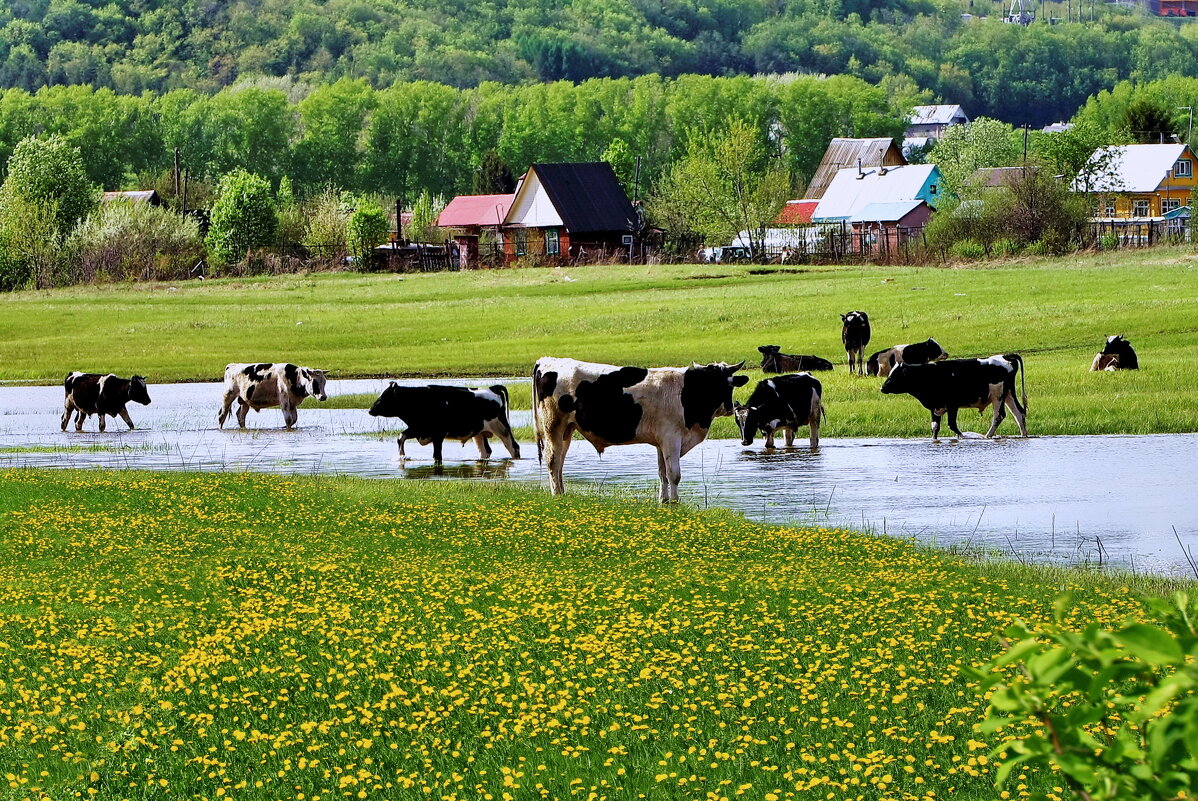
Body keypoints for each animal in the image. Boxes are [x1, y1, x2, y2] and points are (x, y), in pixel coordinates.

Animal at [366, 383, 522, 462]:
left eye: (384, 397)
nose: (371, 410)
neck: (420, 400)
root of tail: (492, 388)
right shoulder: (418, 429)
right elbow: (400, 437)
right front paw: (402, 456)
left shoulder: (438, 434)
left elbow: (437, 455)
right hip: (479, 433)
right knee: (485, 451)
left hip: (502, 428)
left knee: (513, 447)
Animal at [529, 356, 742, 500]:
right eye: (721, 385)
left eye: (730, 383)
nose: (730, 408)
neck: (687, 392)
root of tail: (546, 361)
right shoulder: (671, 438)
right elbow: (674, 474)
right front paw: (675, 502)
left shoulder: (661, 442)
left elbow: (662, 474)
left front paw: (664, 501)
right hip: (553, 427)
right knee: (552, 461)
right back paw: (557, 494)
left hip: (567, 430)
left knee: (560, 463)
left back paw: (562, 492)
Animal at [881, 352, 1030, 440]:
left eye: (895, 376)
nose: (882, 388)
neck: (929, 375)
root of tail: (1006, 356)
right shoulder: (935, 407)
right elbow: (935, 427)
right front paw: (934, 440)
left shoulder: (953, 405)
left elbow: (952, 425)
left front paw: (964, 436)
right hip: (1008, 394)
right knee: (1019, 413)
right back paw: (1023, 435)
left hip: (998, 396)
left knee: (999, 416)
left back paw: (987, 436)